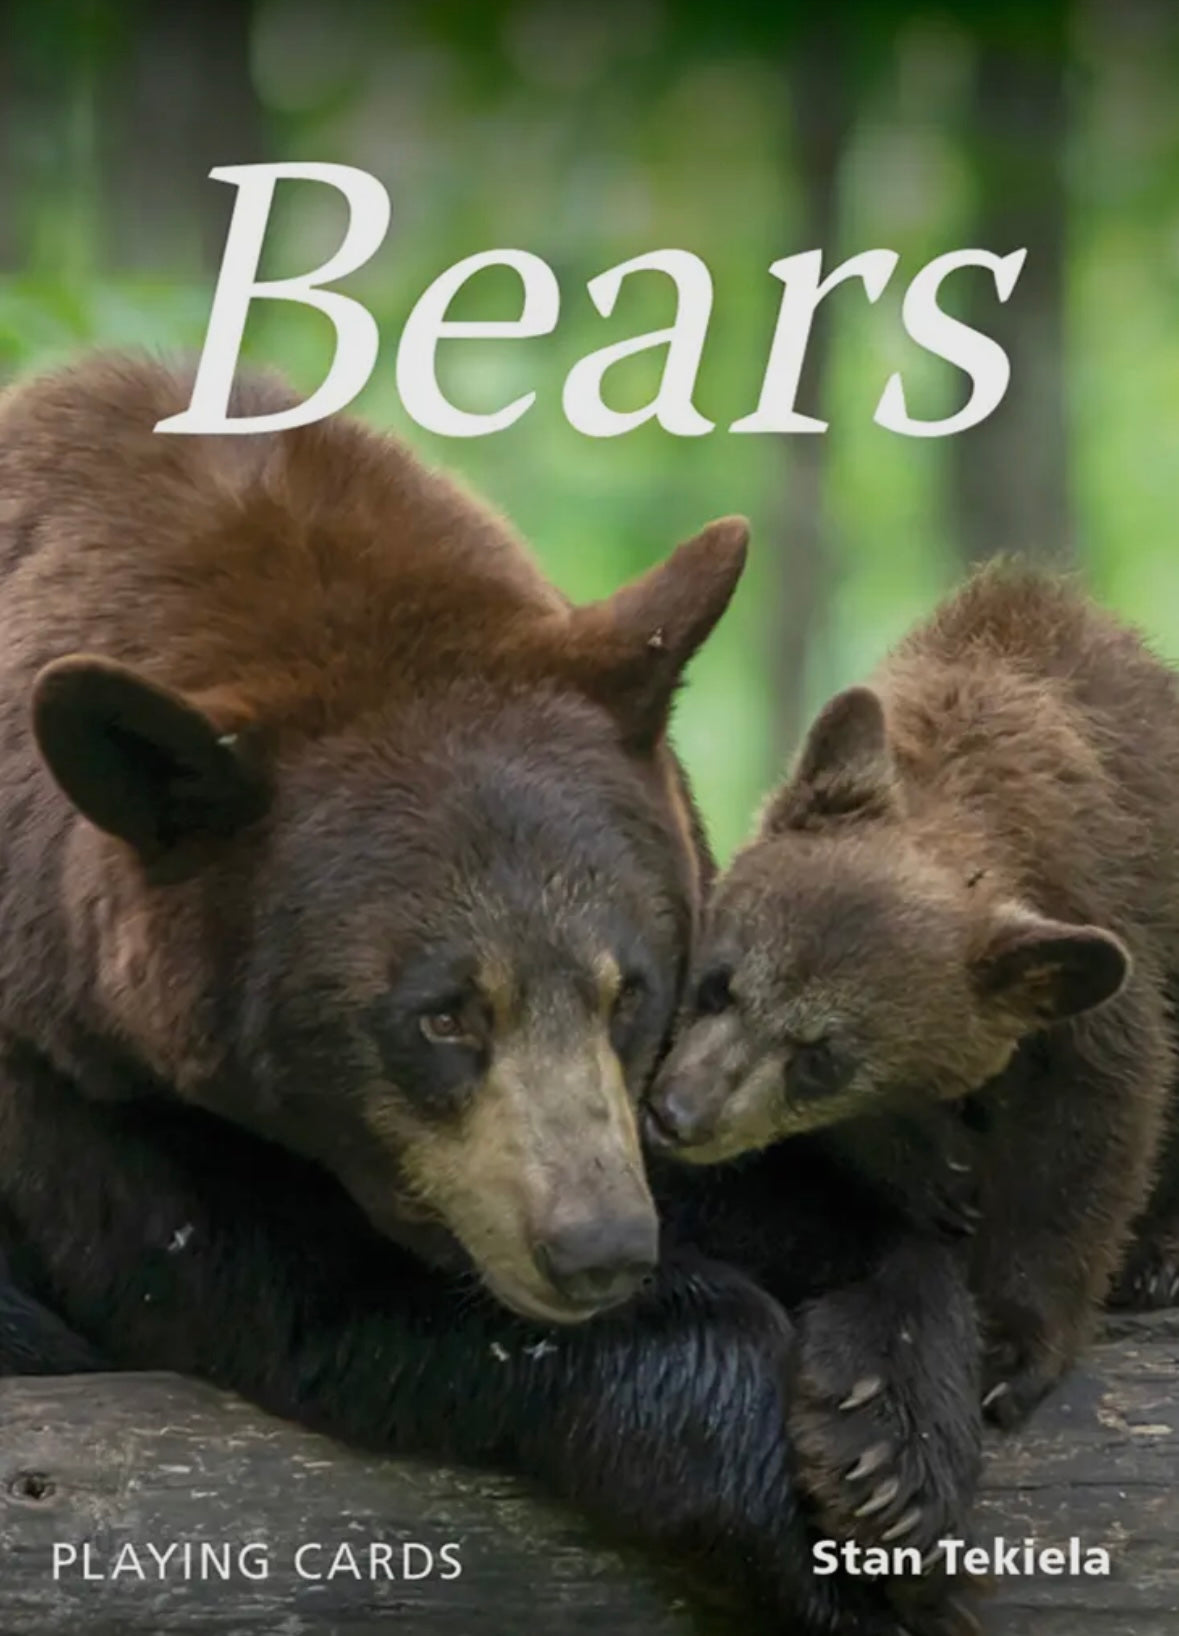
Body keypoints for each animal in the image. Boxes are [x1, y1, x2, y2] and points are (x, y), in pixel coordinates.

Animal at [0, 350, 973, 1636]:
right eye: (443, 1011)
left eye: (630, 990)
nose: (601, 1247)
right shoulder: (70, 1078)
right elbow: (303, 1286)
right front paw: (821, 1545)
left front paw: (891, 1434)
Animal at [645, 561, 1179, 1552]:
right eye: (717, 982)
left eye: (821, 1054)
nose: (678, 1113)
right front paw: (934, 1178)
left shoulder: (1106, 953)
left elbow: (1090, 1133)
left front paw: (1006, 1348)